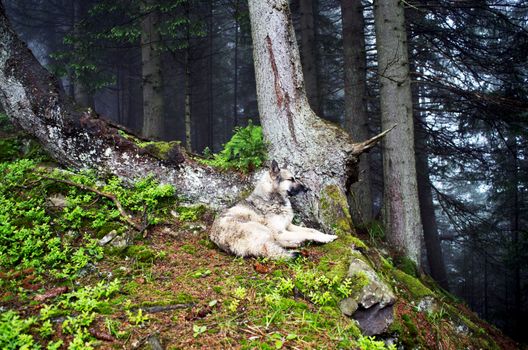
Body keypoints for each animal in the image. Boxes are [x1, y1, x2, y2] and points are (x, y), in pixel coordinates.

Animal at [208, 160, 336, 258]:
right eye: (291, 179)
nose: (306, 189)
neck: (272, 199)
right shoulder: (281, 232)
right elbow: (308, 233)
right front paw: (325, 238)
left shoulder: (288, 226)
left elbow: (312, 230)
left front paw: (325, 235)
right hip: (265, 230)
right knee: (277, 243)